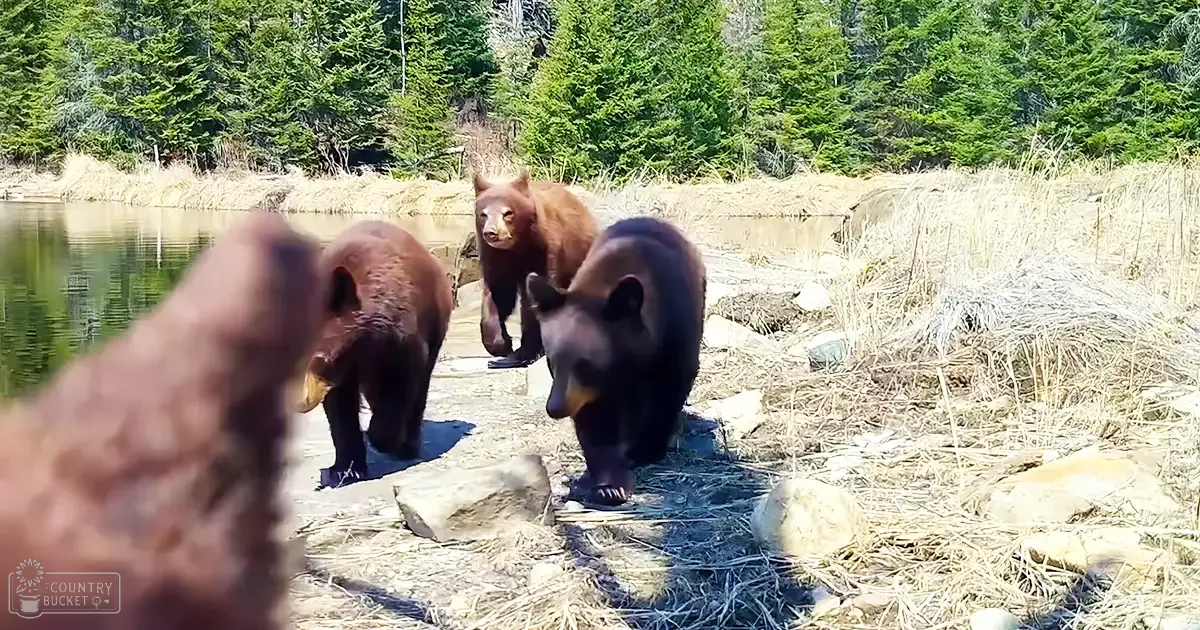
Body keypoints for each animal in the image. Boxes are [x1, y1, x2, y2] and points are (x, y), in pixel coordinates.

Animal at [295, 220, 454, 489]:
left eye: (322, 357)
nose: (299, 402)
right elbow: (340, 408)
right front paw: (344, 469)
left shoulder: (400, 339)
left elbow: (400, 383)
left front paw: (380, 438)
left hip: (435, 323)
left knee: (418, 389)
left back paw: (407, 445)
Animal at [473, 168, 599, 369]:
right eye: (483, 214)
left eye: (508, 212)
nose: (491, 233)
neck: (518, 246)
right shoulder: (495, 257)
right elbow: (498, 293)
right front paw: (503, 345)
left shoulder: (545, 252)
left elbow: (538, 293)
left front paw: (523, 352)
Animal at [526, 216, 706, 506]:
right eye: (551, 362)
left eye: (585, 364)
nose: (555, 408)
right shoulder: (588, 390)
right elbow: (595, 419)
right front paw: (611, 485)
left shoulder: (675, 335)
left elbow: (668, 392)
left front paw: (645, 450)